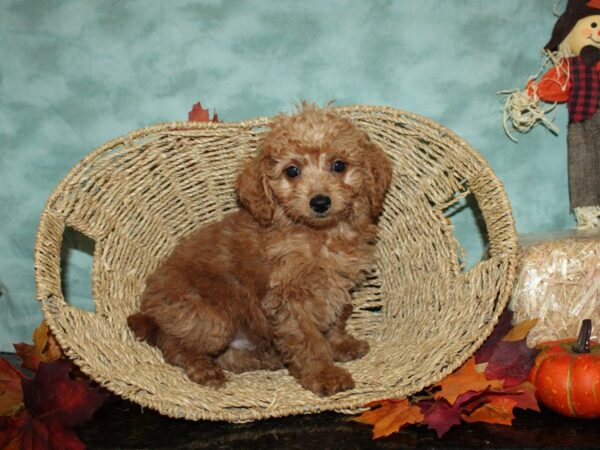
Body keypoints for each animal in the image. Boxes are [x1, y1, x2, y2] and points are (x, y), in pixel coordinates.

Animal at [127, 103, 394, 398]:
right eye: (292, 171)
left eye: (339, 166)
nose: (320, 202)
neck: (320, 235)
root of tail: (147, 310)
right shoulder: (289, 298)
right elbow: (309, 339)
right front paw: (325, 374)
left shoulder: (337, 286)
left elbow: (336, 317)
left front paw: (341, 345)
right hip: (211, 319)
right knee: (172, 344)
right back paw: (205, 369)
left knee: (227, 356)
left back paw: (269, 357)